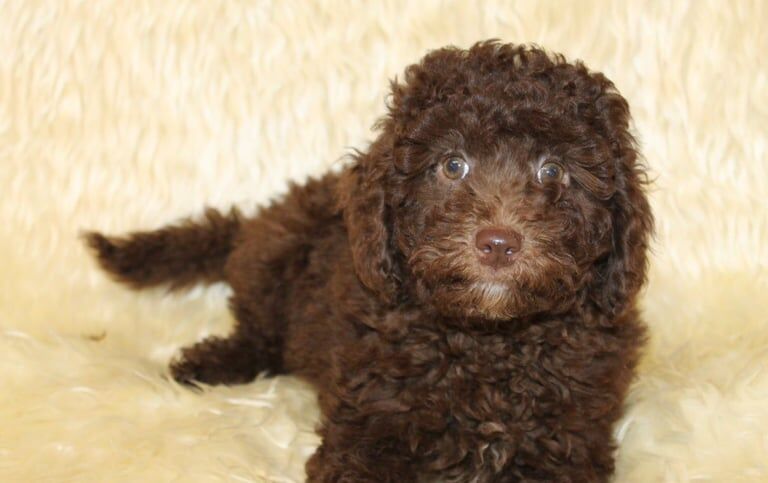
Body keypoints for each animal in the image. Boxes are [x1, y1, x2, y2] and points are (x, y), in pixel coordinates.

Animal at [85, 42, 656, 483]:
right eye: (452, 165)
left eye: (553, 171)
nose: (498, 243)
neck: (489, 343)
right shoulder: (370, 425)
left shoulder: (566, 439)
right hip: (273, 264)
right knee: (260, 332)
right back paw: (213, 362)